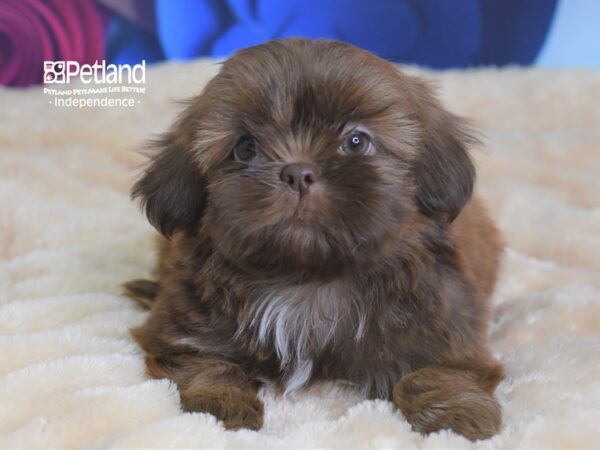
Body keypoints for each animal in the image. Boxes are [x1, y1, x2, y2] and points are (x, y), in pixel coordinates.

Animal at [126, 37, 506, 440]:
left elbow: (436, 371)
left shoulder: (446, 323)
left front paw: (457, 415)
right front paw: (220, 403)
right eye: (246, 147)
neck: (308, 279)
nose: (298, 173)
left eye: (356, 141)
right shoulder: (184, 329)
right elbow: (206, 361)